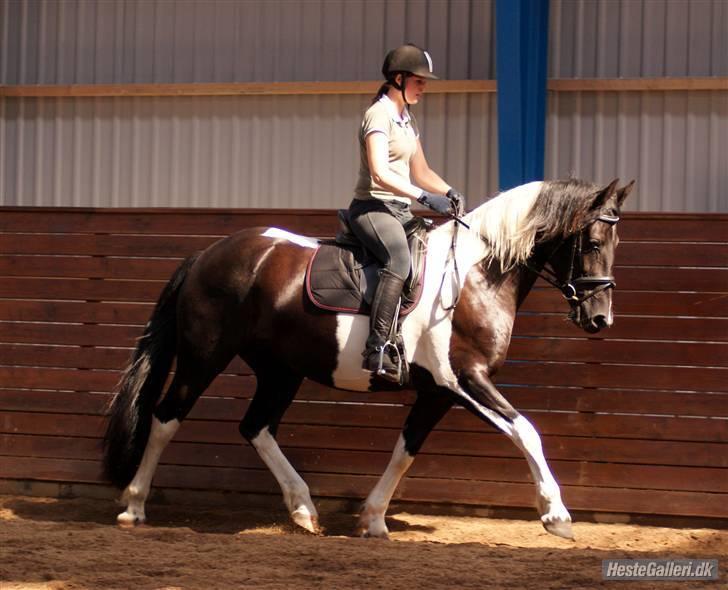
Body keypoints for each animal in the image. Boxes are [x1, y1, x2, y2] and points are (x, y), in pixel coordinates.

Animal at [101, 179, 632, 540]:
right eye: (592, 243)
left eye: (615, 244)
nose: (599, 318)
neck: (476, 276)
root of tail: (208, 255)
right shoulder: (465, 380)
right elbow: (527, 432)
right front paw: (556, 515)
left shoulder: (437, 393)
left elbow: (405, 450)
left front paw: (373, 519)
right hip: (204, 357)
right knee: (165, 417)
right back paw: (133, 506)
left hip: (280, 371)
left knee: (256, 427)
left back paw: (303, 510)